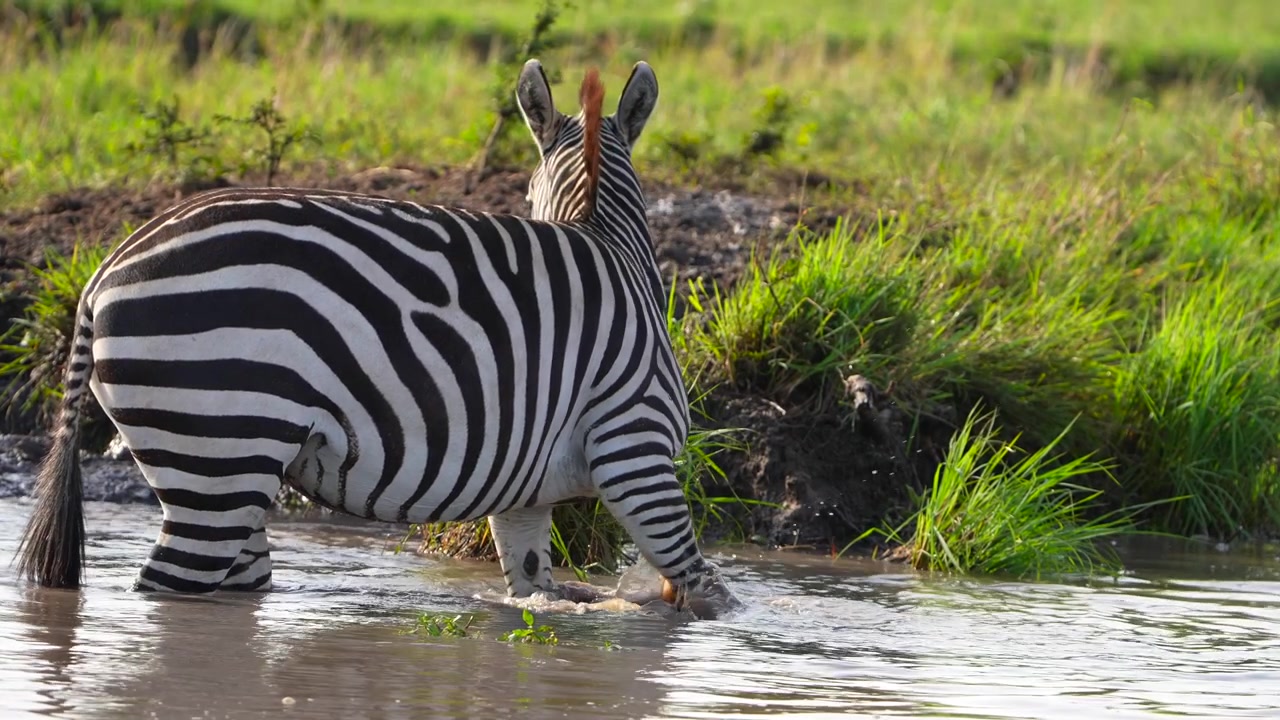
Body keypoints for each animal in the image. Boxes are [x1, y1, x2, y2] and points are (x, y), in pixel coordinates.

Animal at [14, 59, 739, 619]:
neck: (608, 243)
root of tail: (106, 269)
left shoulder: (526, 493)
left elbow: (535, 589)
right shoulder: (635, 450)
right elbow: (707, 588)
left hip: (221, 466)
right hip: (219, 444)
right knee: (167, 587)